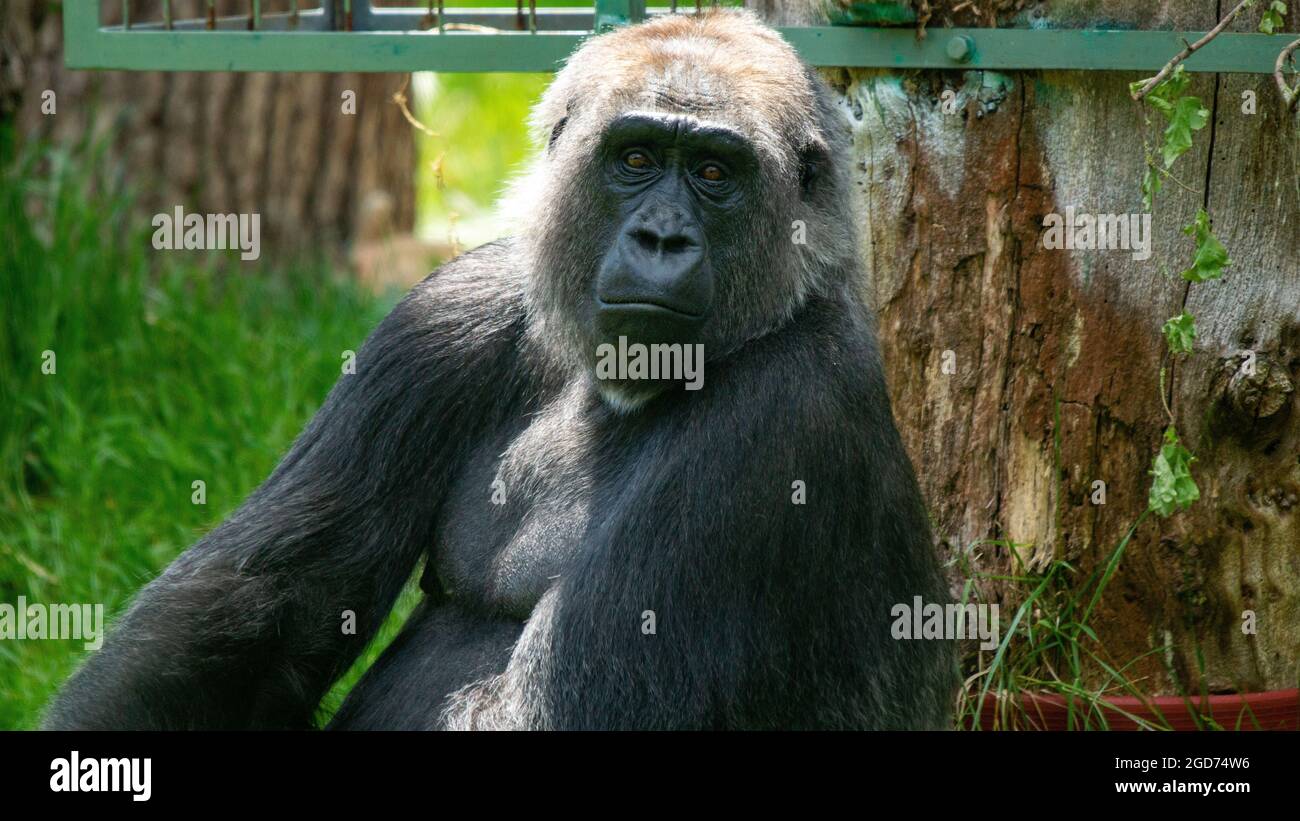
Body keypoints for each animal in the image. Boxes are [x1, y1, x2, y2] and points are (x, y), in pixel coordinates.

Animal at [43, 10, 957, 731]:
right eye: (634, 158)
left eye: (712, 172)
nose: (662, 238)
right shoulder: (444, 316)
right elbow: (256, 608)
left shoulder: (779, 421)